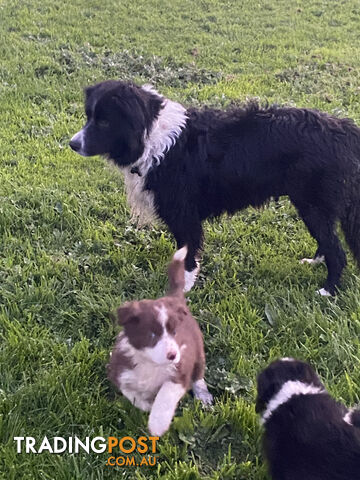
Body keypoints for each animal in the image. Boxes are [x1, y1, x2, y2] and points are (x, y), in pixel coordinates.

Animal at [69, 80, 360, 294]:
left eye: (104, 121)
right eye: (88, 117)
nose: (72, 144)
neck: (151, 138)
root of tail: (344, 129)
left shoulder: (184, 215)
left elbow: (187, 254)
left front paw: (182, 289)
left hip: (314, 205)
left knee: (337, 250)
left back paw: (328, 291)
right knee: (327, 241)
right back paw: (316, 262)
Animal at [108, 246, 212, 436]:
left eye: (175, 332)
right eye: (152, 335)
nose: (172, 355)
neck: (151, 363)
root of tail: (174, 297)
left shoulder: (180, 371)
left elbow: (165, 396)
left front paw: (157, 425)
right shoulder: (120, 371)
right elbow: (131, 393)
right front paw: (146, 404)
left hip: (198, 348)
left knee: (198, 374)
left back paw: (203, 395)